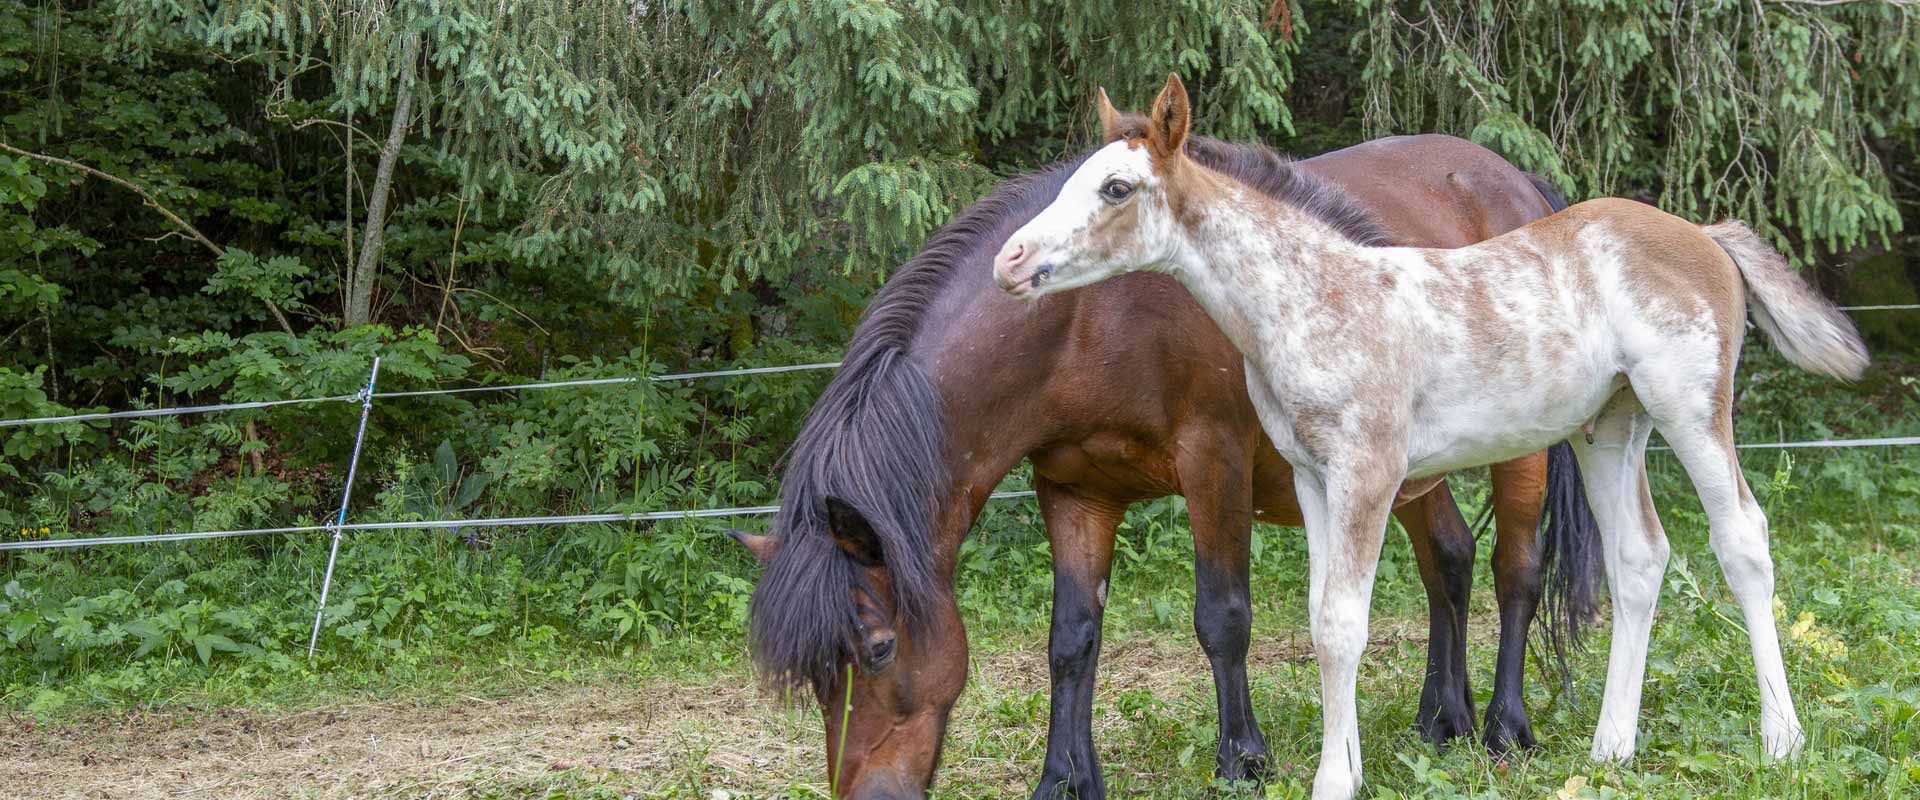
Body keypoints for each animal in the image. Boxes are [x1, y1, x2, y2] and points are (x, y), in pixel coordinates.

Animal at [725, 126, 1597, 798]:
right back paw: (1440, 720)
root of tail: (1519, 182)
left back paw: (1504, 727)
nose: (866, 794)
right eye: (814, 676)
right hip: (1407, 471)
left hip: (1514, 456)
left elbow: (1223, 617)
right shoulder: (1071, 488)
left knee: (1515, 569)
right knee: (1448, 559)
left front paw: (1242, 761)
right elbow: (1072, 637)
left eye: (877, 647)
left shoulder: (1213, 461)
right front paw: (1065, 777)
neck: (1084, 321)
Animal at [998, 74, 1866, 798]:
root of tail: (1706, 234)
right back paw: (1610, 748)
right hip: (1609, 427)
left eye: (1116, 187)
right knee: (1639, 558)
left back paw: (1781, 739)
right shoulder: (1313, 477)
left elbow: (1342, 624)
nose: (1011, 260)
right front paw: (1345, 764)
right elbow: (1321, 617)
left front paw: (1333, 782)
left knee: (1742, 538)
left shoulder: (1367, 471)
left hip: (1690, 408)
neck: (1312, 298)